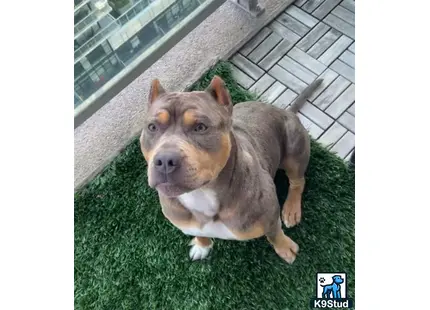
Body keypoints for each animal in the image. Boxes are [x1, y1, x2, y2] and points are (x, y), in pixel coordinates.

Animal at [139, 74, 320, 262]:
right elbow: (200, 233)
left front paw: (284, 247)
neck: (201, 196)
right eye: (152, 127)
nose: (164, 160)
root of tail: (285, 111)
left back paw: (291, 209)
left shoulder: (270, 216)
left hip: (294, 150)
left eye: (200, 127)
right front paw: (202, 245)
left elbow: (275, 234)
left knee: (298, 181)